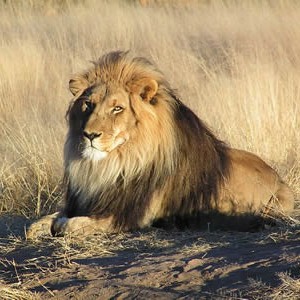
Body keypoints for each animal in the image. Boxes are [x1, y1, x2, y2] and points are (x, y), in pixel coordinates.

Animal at [27, 51, 294, 239]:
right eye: (88, 104)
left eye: (117, 108)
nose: (89, 135)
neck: (113, 164)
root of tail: (281, 181)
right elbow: (38, 223)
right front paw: (42, 225)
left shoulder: (129, 215)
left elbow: (69, 225)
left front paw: (61, 225)